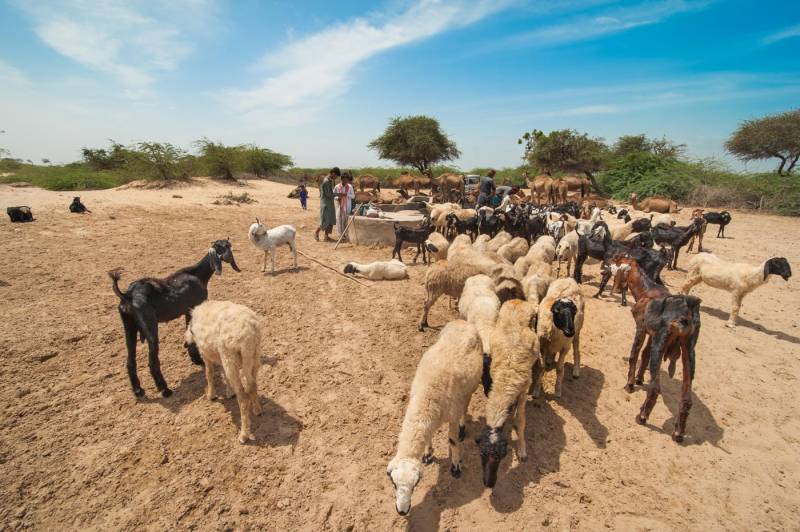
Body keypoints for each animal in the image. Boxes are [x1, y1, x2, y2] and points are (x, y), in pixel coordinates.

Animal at [109, 239, 241, 396]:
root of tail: (128, 295)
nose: (227, 257)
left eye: (229, 246)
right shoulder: (194, 308)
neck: (198, 274)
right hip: (149, 326)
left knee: (130, 361)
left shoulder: (187, 311)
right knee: (152, 361)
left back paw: (138, 390)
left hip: (129, 327)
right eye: (219, 247)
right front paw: (197, 359)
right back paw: (165, 390)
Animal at [184, 300, 262, 444]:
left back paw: (244, 435)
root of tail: (249, 332)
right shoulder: (221, 356)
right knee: (253, 384)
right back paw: (257, 409)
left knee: (243, 398)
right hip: (253, 355)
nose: (185, 342)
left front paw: (211, 395)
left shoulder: (205, 354)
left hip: (230, 356)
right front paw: (229, 392)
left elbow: (209, 373)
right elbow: (225, 376)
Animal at [386, 320, 482, 516]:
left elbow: (453, 442)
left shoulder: (452, 416)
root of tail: (463, 321)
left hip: (470, 388)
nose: (402, 511)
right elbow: (428, 436)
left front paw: (456, 467)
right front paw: (427, 453)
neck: (426, 397)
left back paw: (463, 429)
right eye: (394, 483)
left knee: (465, 406)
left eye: (415, 485)